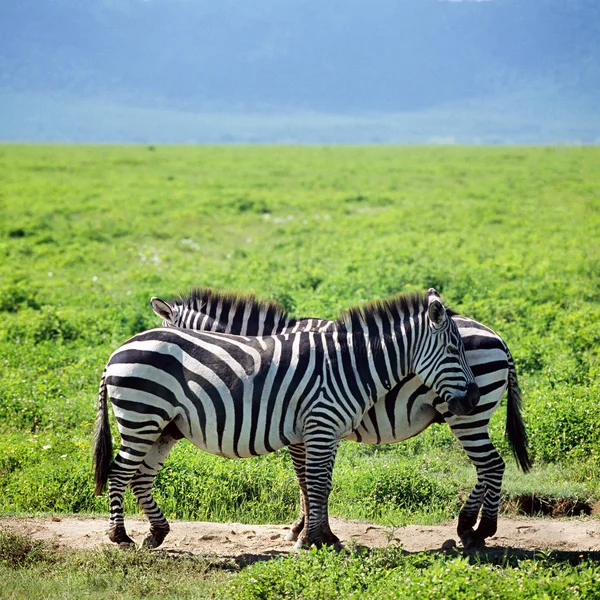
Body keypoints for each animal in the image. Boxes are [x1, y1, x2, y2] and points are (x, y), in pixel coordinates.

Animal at [94, 288, 478, 552]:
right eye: (452, 350)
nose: (473, 397)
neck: (351, 365)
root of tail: (116, 352)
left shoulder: (326, 430)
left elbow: (319, 483)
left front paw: (318, 535)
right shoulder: (319, 425)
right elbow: (314, 483)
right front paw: (314, 539)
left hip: (159, 426)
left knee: (140, 476)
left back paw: (156, 534)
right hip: (143, 417)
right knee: (121, 472)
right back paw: (121, 536)